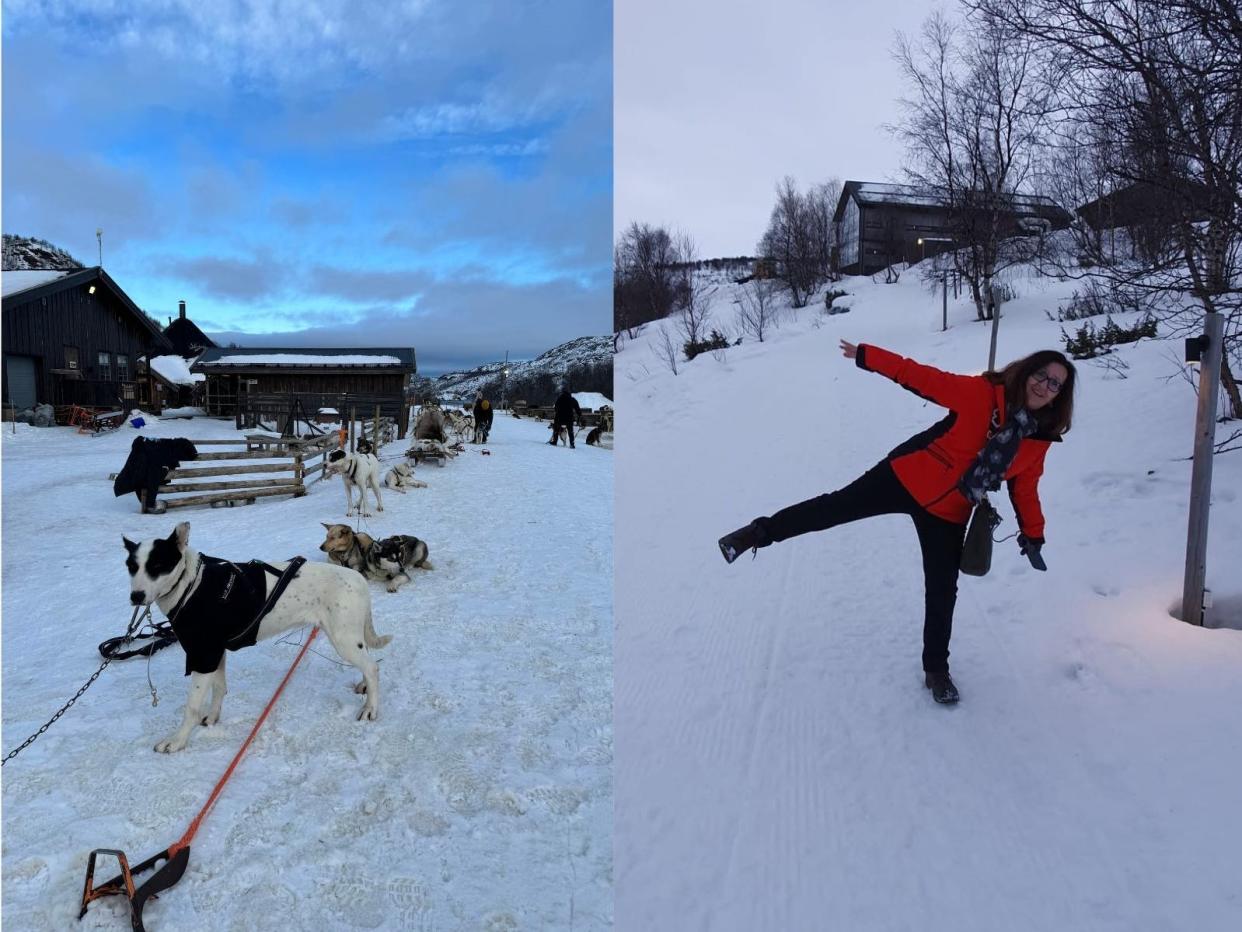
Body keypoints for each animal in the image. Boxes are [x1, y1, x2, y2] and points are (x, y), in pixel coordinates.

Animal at [124, 521, 387, 755]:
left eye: (157, 565)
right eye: (131, 566)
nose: (136, 596)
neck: (191, 584)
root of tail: (359, 579)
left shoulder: (203, 656)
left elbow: (192, 707)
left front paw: (177, 741)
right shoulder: (215, 652)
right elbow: (219, 688)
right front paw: (213, 717)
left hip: (344, 641)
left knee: (373, 667)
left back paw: (370, 708)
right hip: (352, 639)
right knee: (368, 661)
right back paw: (364, 686)